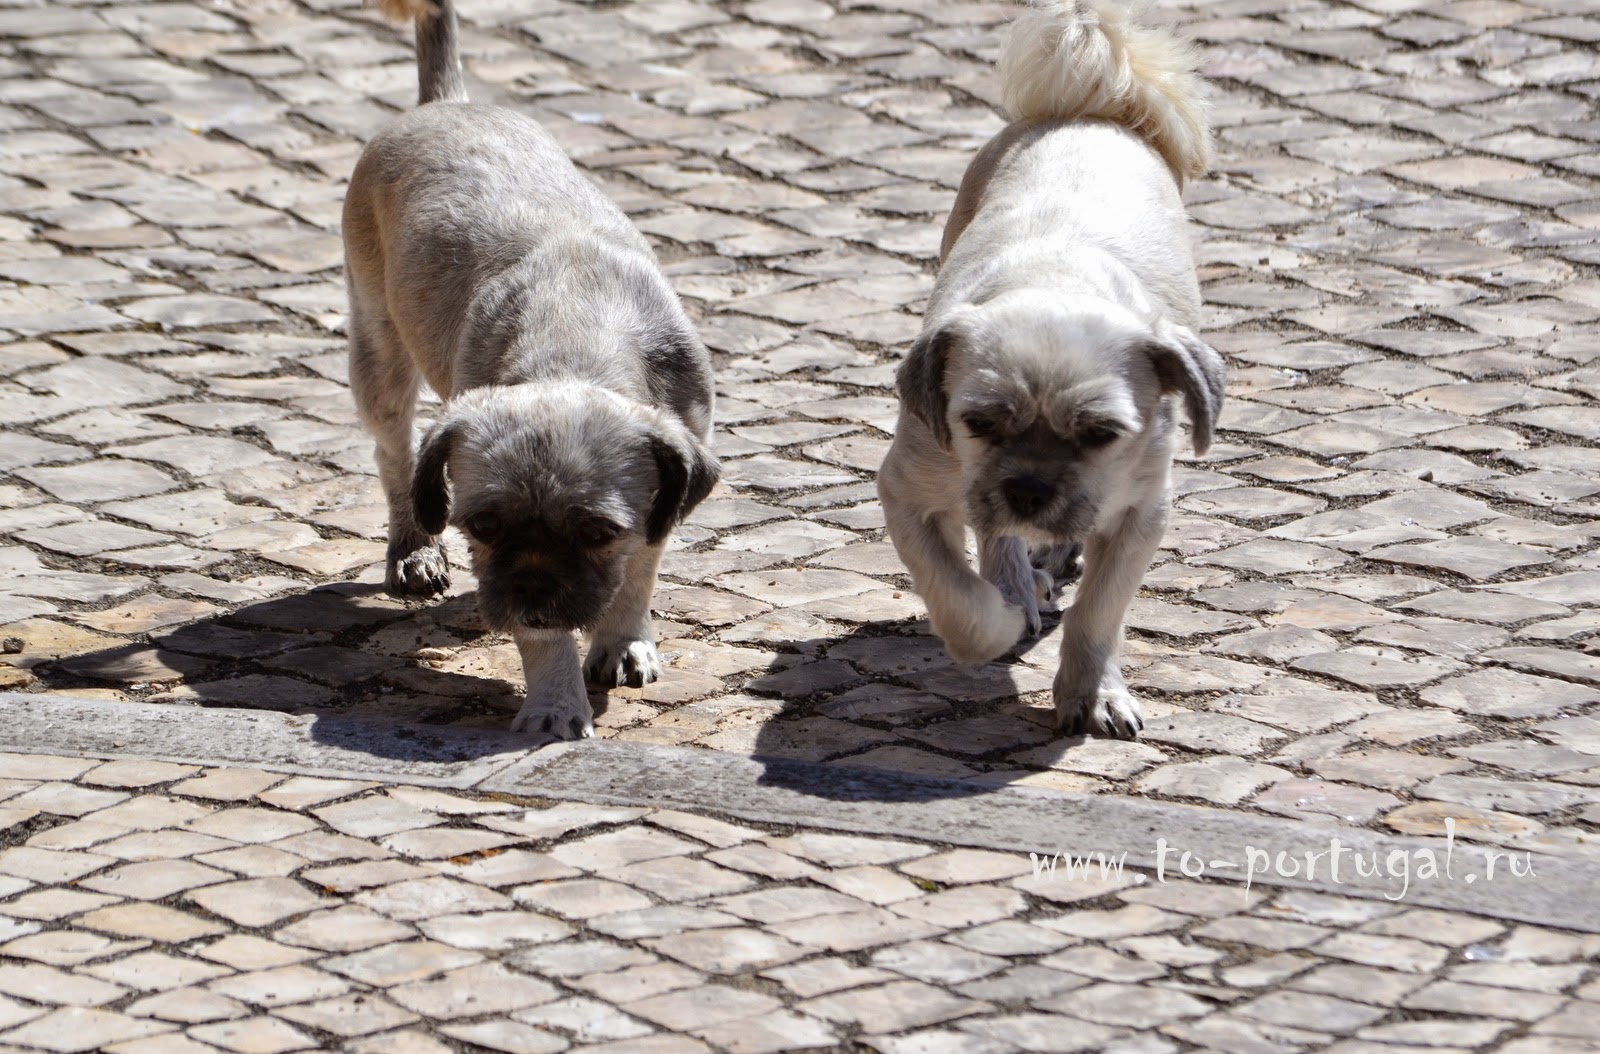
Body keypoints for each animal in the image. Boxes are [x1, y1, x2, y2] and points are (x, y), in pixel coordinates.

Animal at [876, 2, 1222, 742]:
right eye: (978, 422)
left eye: (1100, 434)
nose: (1031, 488)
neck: (1054, 277)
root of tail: (1089, 113)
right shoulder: (909, 491)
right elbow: (961, 603)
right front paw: (1003, 614)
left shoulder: (1141, 515)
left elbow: (1099, 615)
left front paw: (1092, 693)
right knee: (992, 533)